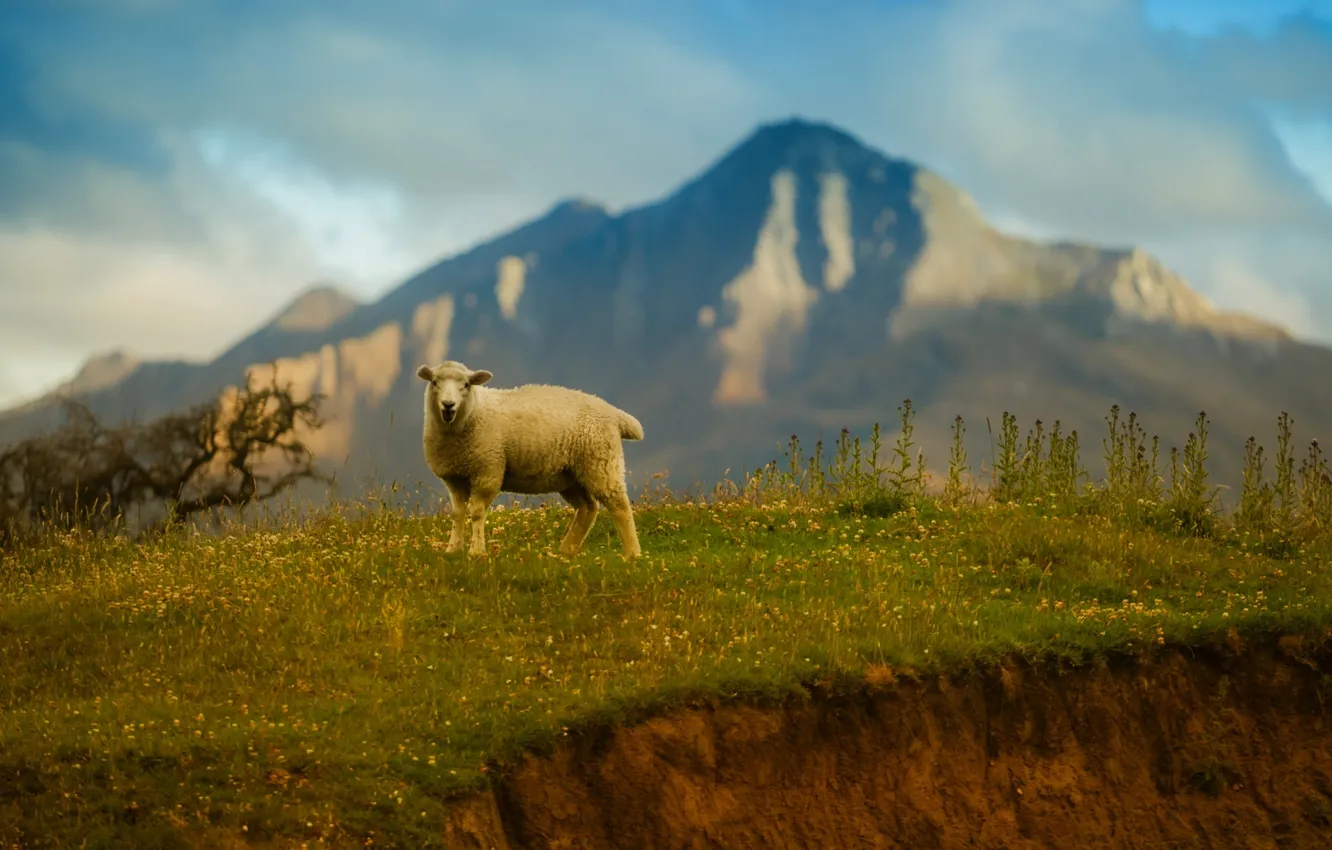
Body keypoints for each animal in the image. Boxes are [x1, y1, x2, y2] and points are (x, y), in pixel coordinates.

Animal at [416, 360, 645, 559]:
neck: (472, 412)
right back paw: (566, 550)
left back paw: (632, 553)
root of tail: (615, 414)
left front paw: (476, 551)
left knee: (620, 506)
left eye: (466, 385)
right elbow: (458, 514)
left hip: (600, 463)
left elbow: (477, 513)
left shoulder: (488, 472)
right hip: (570, 474)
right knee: (588, 508)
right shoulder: (455, 478)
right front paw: (452, 549)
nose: (448, 405)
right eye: (434, 382)